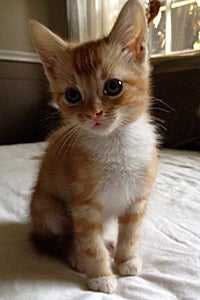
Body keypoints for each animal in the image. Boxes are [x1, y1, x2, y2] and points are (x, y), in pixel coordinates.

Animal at [29, 0, 158, 294]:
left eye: (114, 86)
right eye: (72, 95)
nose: (93, 113)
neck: (116, 145)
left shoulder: (137, 200)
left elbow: (130, 234)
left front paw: (125, 259)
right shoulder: (83, 206)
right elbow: (90, 242)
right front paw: (100, 276)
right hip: (49, 209)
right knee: (62, 239)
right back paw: (75, 254)